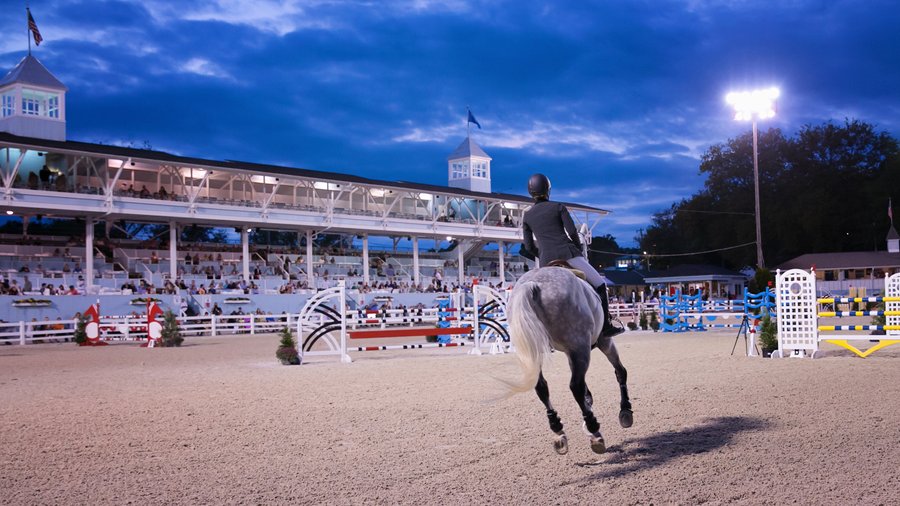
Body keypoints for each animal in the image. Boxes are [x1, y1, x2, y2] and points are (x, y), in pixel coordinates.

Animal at [502, 266, 628, 456]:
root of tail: (533, 284)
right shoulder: (601, 341)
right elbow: (620, 371)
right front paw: (625, 411)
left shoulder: (570, 353)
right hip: (581, 346)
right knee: (576, 386)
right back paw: (594, 429)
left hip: (536, 348)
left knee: (542, 387)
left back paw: (558, 430)